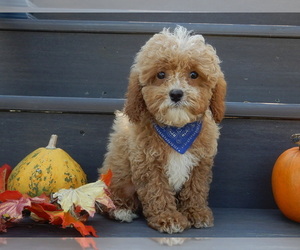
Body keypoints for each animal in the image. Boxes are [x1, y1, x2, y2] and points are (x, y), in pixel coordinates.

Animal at [99, 26, 226, 233]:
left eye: (194, 74)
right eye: (160, 75)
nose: (176, 93)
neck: (177, 129)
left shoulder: (200, 162)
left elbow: (196, 189)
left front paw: (196, 212)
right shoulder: (148, 163)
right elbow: (157, 192)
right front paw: (168, 218)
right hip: (117, 175)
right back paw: (121, 211)